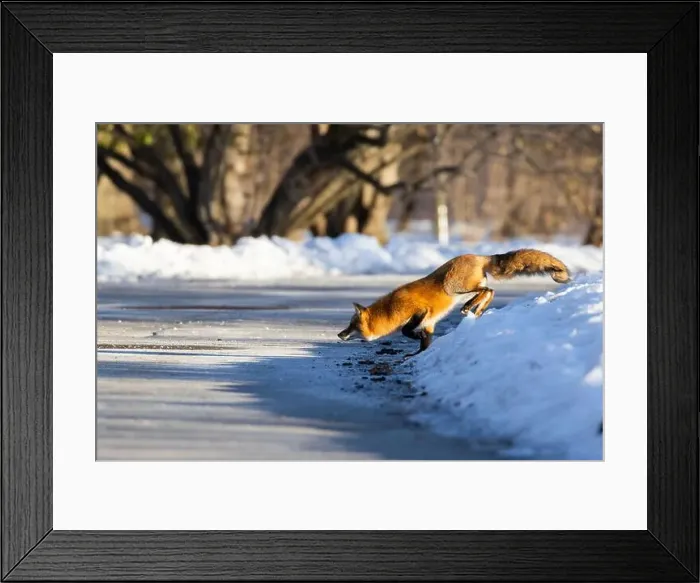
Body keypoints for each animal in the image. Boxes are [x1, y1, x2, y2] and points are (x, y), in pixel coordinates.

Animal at [338, 249, 571, 358]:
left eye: (352, 325)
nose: (339, 334)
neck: (391, 309)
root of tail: (478, 256)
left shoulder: (421, 312)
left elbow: (406, 331)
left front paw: (413, 341)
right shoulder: (430, 323)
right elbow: (424, 344)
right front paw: (416, 355)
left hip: (454, 287)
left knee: (487, 290)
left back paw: (470, 307)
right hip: (464, 288)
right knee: (490, 292)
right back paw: (478, 310)